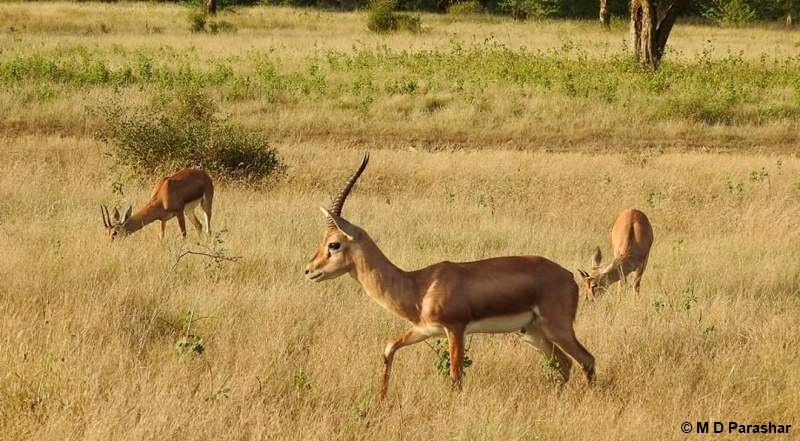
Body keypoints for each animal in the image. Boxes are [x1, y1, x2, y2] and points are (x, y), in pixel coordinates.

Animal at [304, 154, 595, 399]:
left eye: (334, 244)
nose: (309, 270)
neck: (419, 286)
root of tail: (569, 276)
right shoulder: (423, 330)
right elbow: (388, 348)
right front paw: (381, 399)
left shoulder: (455, 328)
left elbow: (456, 376)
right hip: (532, 332)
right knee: (564, 363)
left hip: (557, 327)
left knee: (587, 359)